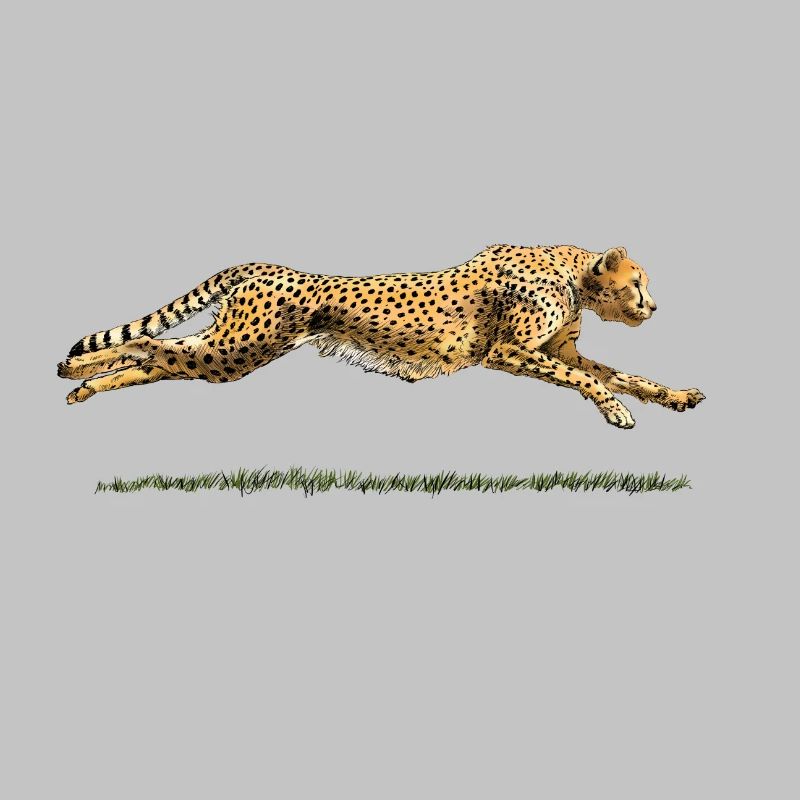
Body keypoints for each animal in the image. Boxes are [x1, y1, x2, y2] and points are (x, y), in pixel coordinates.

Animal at [57, 244, 705, 428]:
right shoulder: (507, 351)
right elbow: (581, 378)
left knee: (160, 358)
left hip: (228, 354)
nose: (654, 306)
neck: (574, 274)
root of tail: (266, 265)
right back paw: (72, 369)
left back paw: (80, 386)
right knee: (151, 346)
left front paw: (675, 396)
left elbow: (622, 374)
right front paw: (617, 412)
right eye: (638, 283)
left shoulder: (555, 349)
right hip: (237, 350)